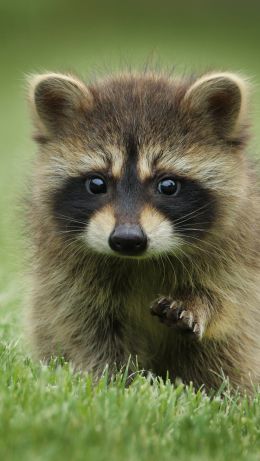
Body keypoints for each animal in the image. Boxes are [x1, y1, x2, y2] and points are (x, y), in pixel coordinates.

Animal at [25, 70, 260, 390]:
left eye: (168, 185)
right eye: (97, 184)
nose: (127, 240)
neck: (140, 261)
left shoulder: (238, 250)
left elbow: (229, 299)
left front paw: (198, 302)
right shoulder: (67, 277)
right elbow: (87, 328)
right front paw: (114, 382)